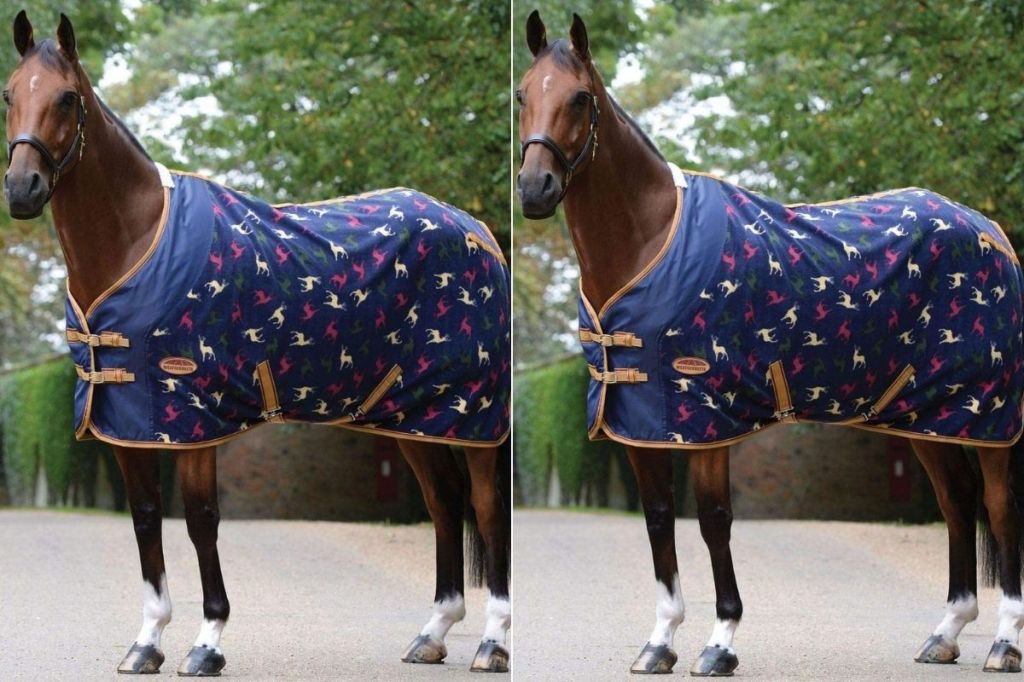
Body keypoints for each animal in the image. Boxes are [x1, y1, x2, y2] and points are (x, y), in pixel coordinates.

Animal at [4, 12, 510, 675]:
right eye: (9, 95)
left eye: (66, 97)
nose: (22, 188)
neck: (139, 241)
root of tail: (480, 232)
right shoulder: (129, 422)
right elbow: (145, 520)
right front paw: (146, 642)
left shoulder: (195, 417)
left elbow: (200, 521)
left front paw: (207, 643)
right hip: (414, 413)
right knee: (445, 501)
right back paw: (433, 633)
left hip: (475, 414)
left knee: (485, 505)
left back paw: (492, 643)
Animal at [517, 11, 1024, 676]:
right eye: (521, 95)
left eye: (579, 97)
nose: (535, 188)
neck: (651, 240)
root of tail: (993, 232)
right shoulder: (641, 420)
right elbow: (658, 520)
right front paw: (659, 642)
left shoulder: (707, 417)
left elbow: (713, 521)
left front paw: (720, 643)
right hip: (927, 414)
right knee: (958, 501)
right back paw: (945, 634)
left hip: (990, 414)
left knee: (998, 504)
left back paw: (1003, 643)